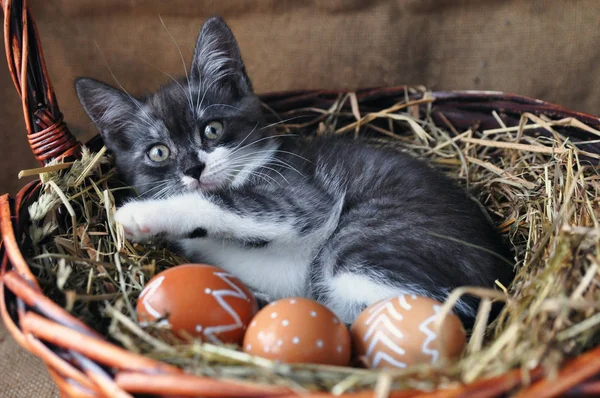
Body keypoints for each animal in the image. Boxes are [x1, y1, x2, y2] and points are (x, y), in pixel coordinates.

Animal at [75, 16, 516, 326]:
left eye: (212, 128)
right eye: (159, 152)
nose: (193, 168)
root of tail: (503, 276)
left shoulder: (300, 196)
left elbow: (230, 204)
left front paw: (139, 214)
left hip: (365, 243)